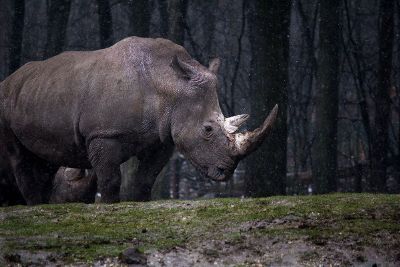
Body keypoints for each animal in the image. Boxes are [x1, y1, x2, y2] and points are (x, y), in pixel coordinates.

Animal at [0, 37, 276, 205]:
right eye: (207, 129)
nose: (225, 171)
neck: (169, 85)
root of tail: (9, 79)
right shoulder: (104, 133)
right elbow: (110, 178)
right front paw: (109, 205)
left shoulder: (162, 138)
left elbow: (146, 178)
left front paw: (139, 202)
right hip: (5, 103)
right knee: (19, 157)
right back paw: (35, 205)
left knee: (44, 160)